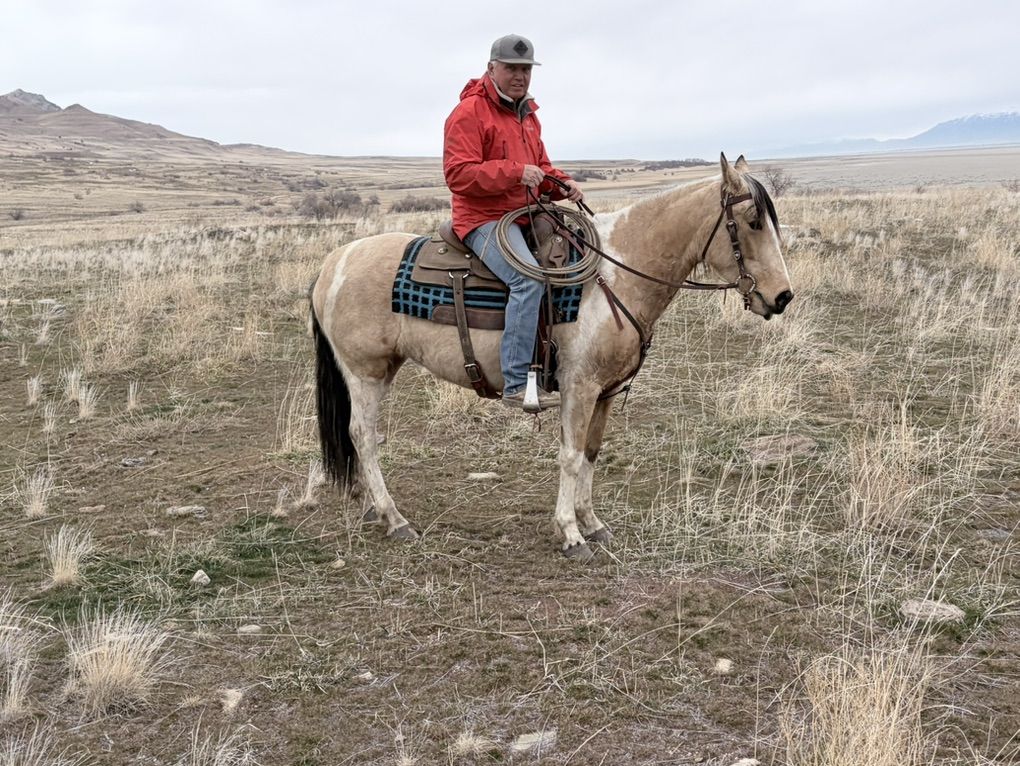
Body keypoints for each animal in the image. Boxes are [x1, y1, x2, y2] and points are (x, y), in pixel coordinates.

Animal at [309, 153, 794, 561]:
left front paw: (593, 523)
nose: (782, 297)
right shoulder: (579, 387)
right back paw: (394, 518)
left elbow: (592, 453)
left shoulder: (605, 392)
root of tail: (333, 261)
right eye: (752, 221)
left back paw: (372, 509)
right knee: (363, 436)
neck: (615, 273)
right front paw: (571, 533)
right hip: (366, 372)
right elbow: (571, 455)